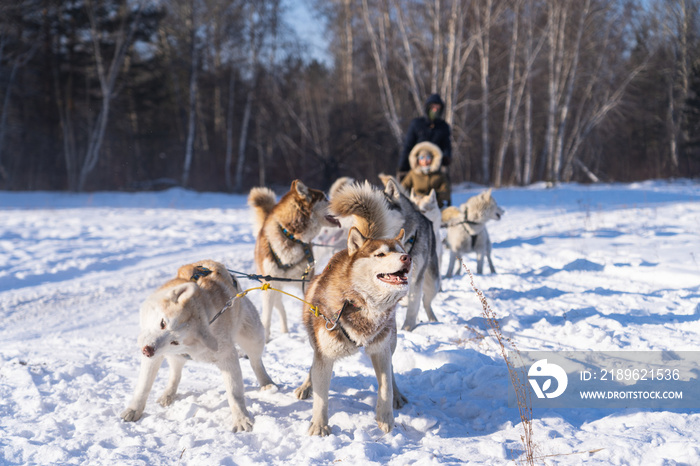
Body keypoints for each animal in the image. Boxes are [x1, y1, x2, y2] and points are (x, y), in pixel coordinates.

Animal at [120, 260, 274, 432]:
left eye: (175, 341)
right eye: (162, 323)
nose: (148, 350)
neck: (202, 313)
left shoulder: (227, 358)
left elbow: (235, 393)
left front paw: (241, 418)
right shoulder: (155, 357)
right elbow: (144, 386)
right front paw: (134, 409)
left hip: (253, 337)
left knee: (256, 362)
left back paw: (267, 383)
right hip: (175, 356)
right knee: (175, 374)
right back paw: (168, 394)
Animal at [249, 180, 342, 340]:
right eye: (324, 198)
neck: (291, 236)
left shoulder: (307, 282)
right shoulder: (269, 285)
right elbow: (266, 318)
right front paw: (266, 340)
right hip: (272, 287)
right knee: (279, 308)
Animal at [294, 181, 410, 436]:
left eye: (401, 250)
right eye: (380, 254)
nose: (407, 257)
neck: (360, 302)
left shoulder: (380, 350)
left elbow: (385, 386)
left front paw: (386, 417)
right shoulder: (324, 355)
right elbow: (321, 396)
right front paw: (319, 425)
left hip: (390, 342)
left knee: (392, 370)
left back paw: (398, 395)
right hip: (315, 341)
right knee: (312, 366)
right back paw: (306, 386)